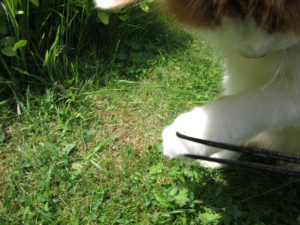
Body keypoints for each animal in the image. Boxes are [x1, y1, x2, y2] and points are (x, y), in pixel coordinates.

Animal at [95, 0, 300, 168]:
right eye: (218, 29)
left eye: (279, 28)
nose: (252, 54)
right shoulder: (242, 70)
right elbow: (237, 92)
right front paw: (221, 154)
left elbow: (256, 105)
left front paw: (191, 135)